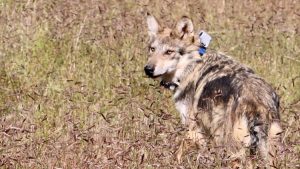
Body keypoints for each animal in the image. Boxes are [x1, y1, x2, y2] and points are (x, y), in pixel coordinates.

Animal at [144, 13, 282, 168]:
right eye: (152, 49)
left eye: (169, 52)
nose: (148, 69)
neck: (191, 65)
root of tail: (257, 102)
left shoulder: (193, 129)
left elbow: (179, 152)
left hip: (232, 150)